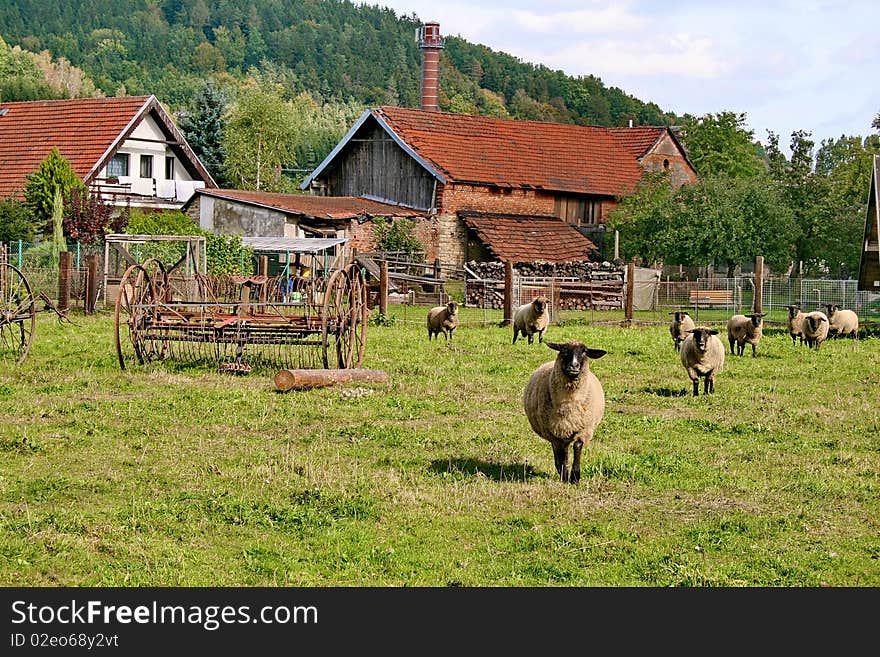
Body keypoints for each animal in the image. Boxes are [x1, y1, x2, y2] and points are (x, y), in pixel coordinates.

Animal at [524, 338, 604, 482]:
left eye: (584, 351)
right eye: (564, 350)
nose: (574, 366)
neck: (569, 403)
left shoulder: (585, 429)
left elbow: (577, 446)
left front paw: (575, 476)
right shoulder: (555, 434)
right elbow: (562, 457)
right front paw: (565, 476)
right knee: (561, 454)